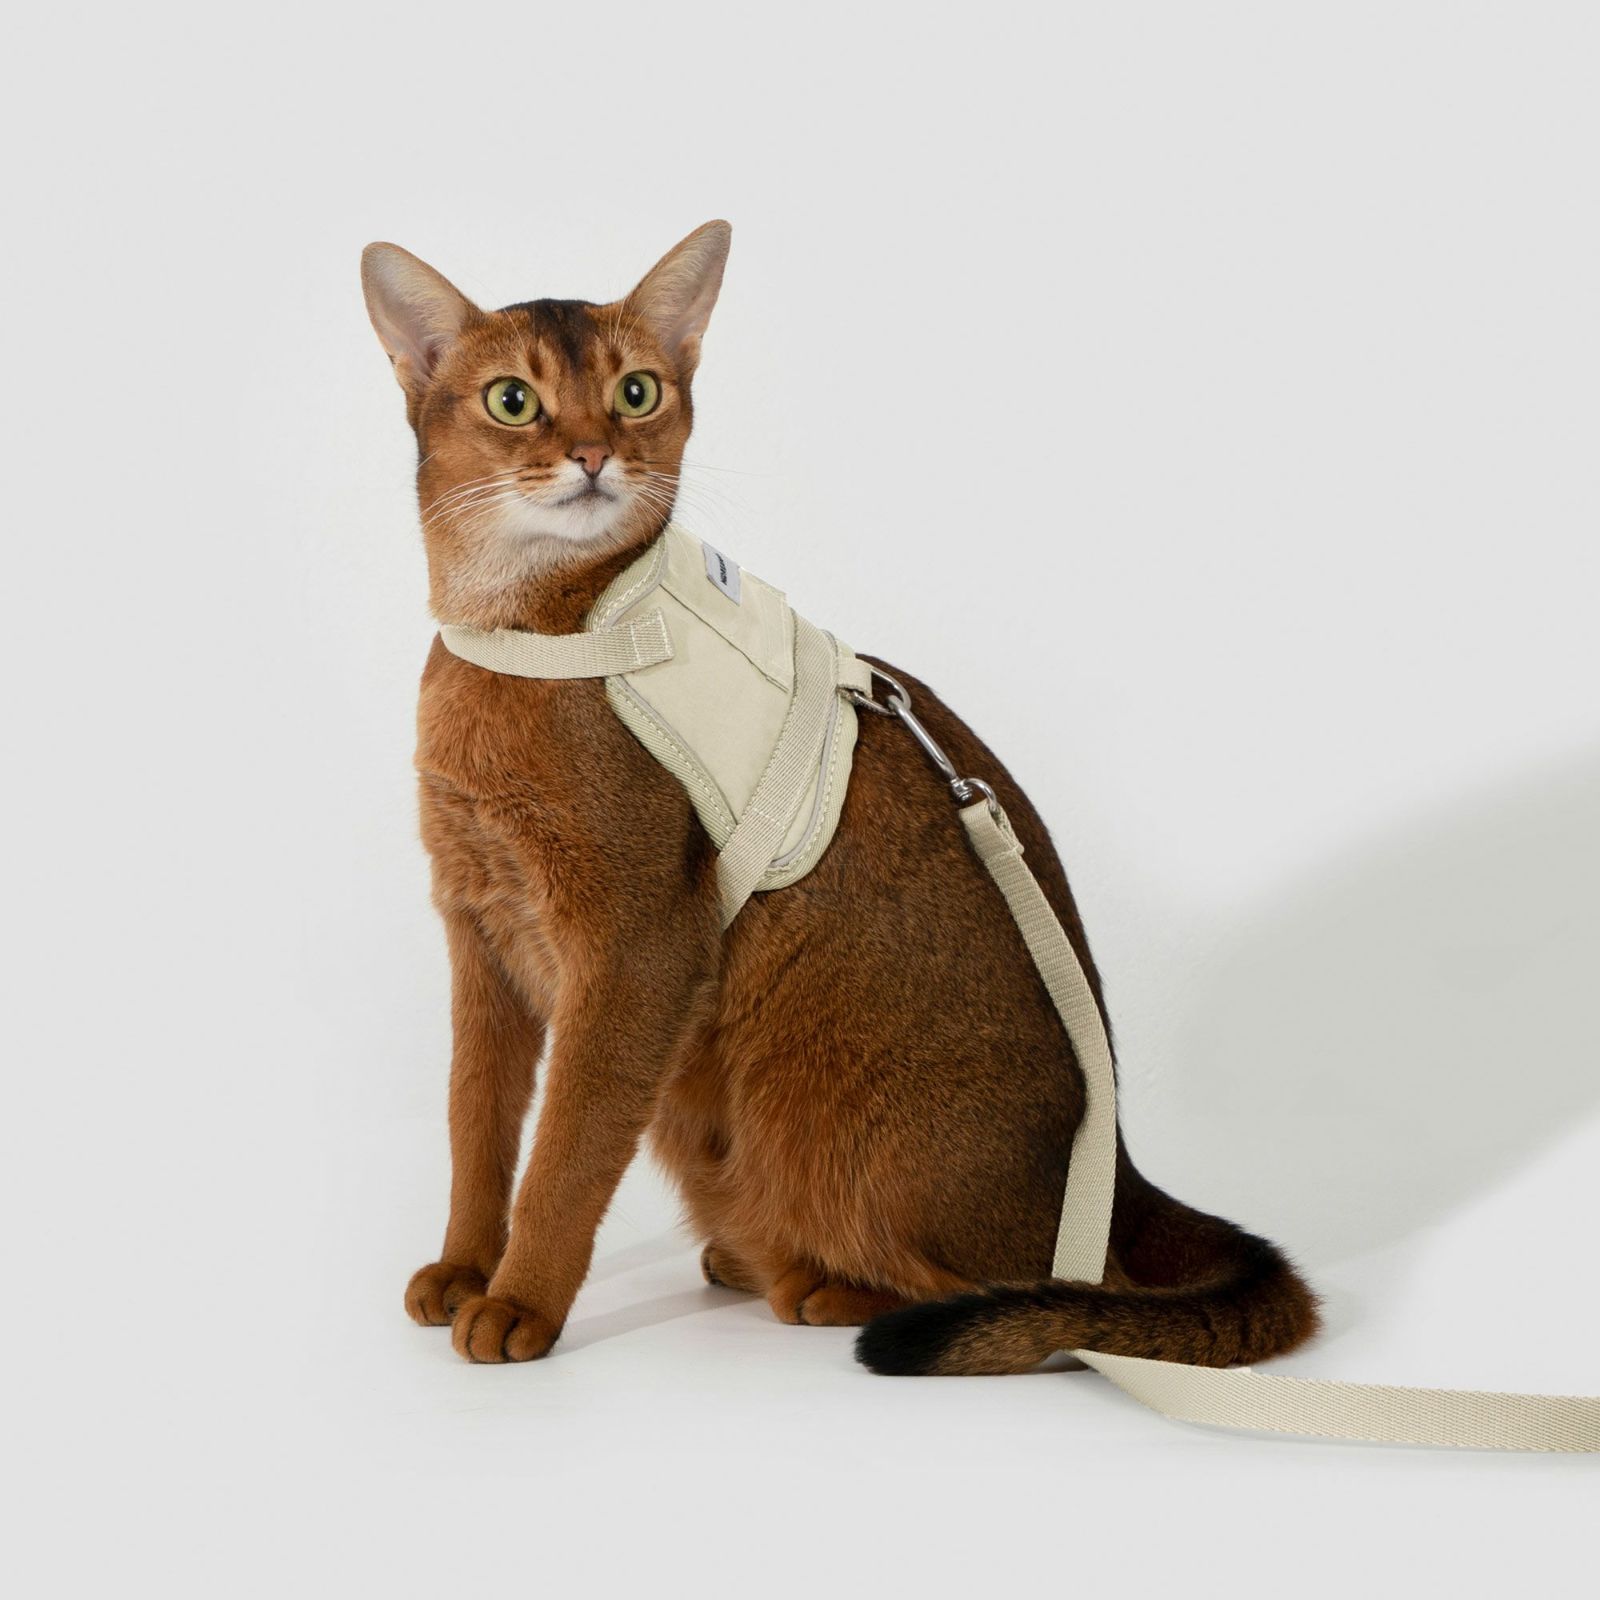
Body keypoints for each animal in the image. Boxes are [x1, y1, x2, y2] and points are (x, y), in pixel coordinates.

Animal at [361, 222, 1318, 1373]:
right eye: (513, 401)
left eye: (637, 391)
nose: (593, 454)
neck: (526, 633)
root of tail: (1119, 1172)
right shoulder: (480, 923)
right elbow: (477, 1125)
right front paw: (462, 1266)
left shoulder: (635, 947)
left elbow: (565, 1153)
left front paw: (518, 1302)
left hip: (804, 1104)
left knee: (1017, 1287)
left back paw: (823, 1287)